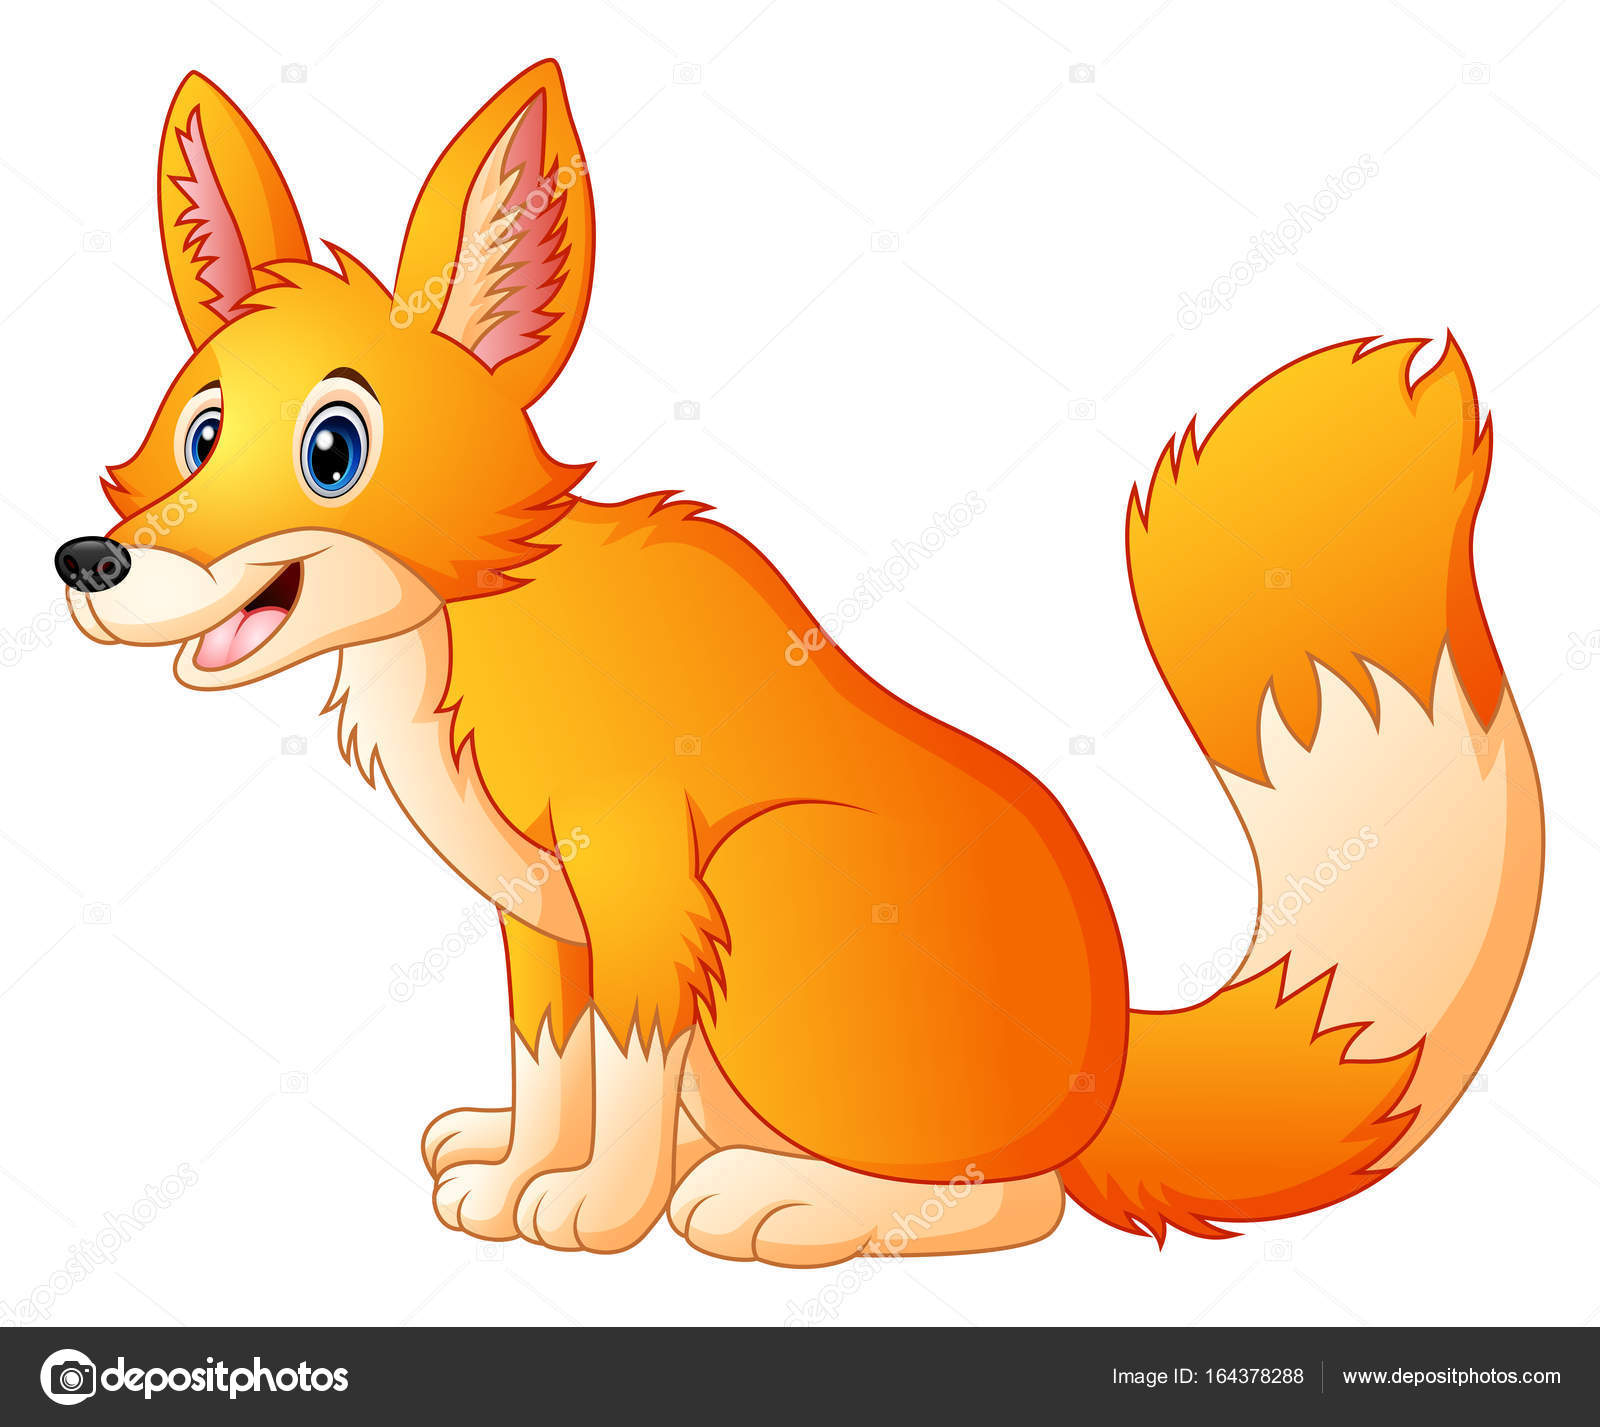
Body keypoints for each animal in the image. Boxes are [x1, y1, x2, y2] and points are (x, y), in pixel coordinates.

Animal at [56, 61, 1543, 1266]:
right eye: (196, 432)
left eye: (333, 450)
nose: (88, 561)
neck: (468, 631)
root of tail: (1116, 1064)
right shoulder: (542, 917)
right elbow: (553, 1063)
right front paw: (520, 1169)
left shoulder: (648, 885)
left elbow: (621, 1070)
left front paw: (591, 1211)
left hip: (777, 883)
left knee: (1014, 1200)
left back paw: (781, 1202)